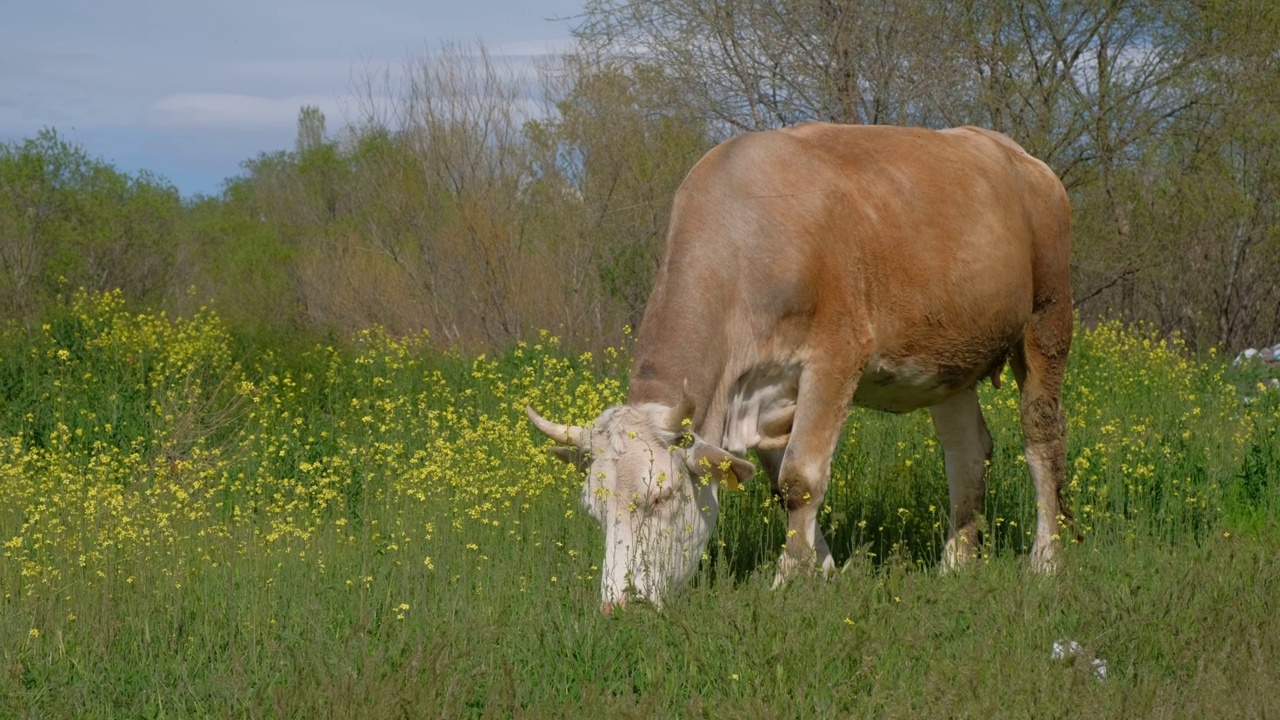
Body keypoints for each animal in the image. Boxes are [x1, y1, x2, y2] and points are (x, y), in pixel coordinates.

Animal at [524, 120, 1075, 607]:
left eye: (662, 499)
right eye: (594, 512)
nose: (620, 605)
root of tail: (1020, 157)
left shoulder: (834, 359)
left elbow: (801, 479)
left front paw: (787, 580)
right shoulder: (763, 399)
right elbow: (778, 484)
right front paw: (824, 572)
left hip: (1047, 320)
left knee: (1041, 438)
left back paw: (1046, 560)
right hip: (948, 361)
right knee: (967, 452)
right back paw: (956, 562)